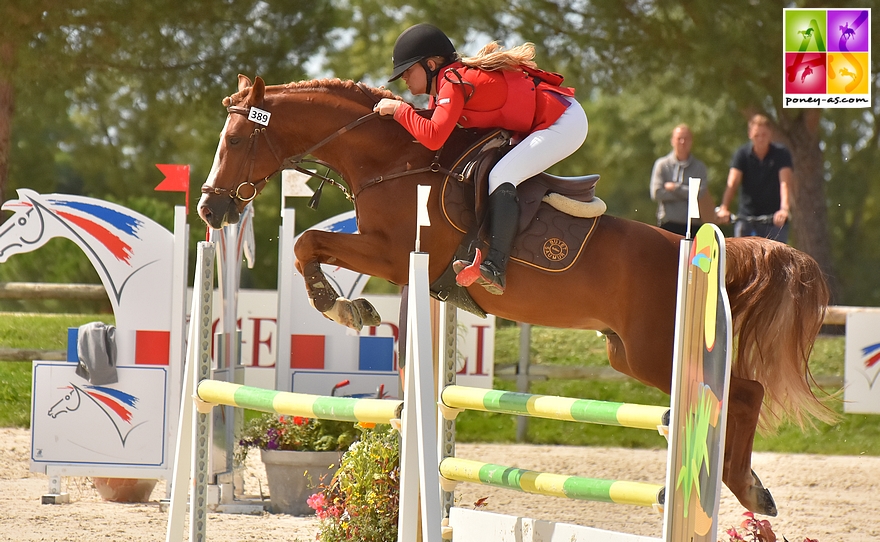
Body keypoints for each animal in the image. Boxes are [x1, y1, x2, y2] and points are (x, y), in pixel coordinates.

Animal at [198, 76, 832, 520]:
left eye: (236, 139)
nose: (209, 208)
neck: (394, 161)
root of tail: (697, 252)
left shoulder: (393, 254)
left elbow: (308, 242)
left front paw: (341, 305)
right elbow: (308, 244)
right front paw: (348, 305)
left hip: (660, 350)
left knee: (743, 392)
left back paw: (747, 487)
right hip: (629, 353)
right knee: (734, 394)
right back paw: (748, 488)